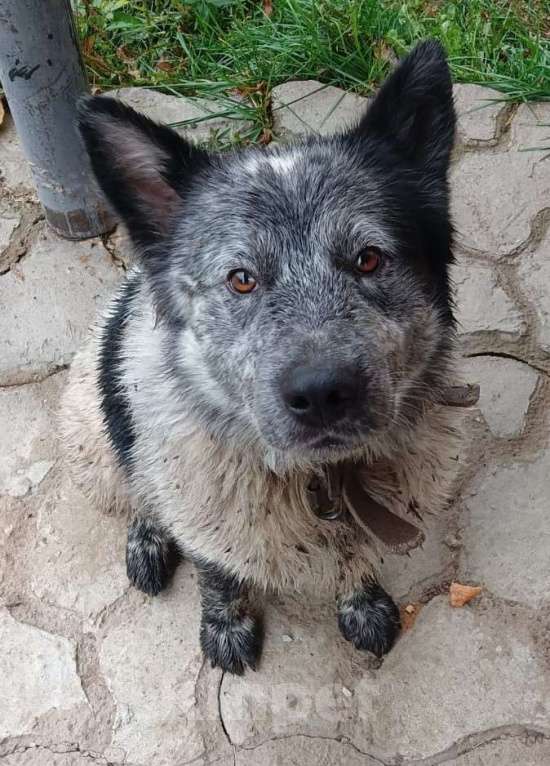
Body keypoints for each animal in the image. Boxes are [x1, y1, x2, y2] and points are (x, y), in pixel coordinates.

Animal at [61, 42, 462, 676]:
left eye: (369, 259)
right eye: (242, 278)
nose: (322, 393)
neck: (317, 479)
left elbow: (359, 557)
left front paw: (362, 603)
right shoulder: (204, 516)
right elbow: (218, 574)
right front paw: (226, 626)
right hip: (91, 436)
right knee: (135, 486)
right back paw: (147, 538)